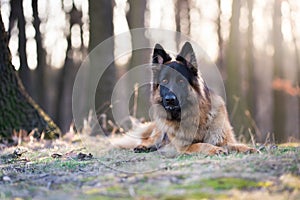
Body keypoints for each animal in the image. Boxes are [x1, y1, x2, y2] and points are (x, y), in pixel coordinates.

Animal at [111, 41, 256, 155]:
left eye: (181, 81)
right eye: (164, 81)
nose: (170, 99)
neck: (197, 117)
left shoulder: (222, 139)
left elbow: (234, 145)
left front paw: (247, 148)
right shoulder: (184, 146)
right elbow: (202, 144)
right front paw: (215, 149)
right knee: (149, 140)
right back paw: (142, 146)